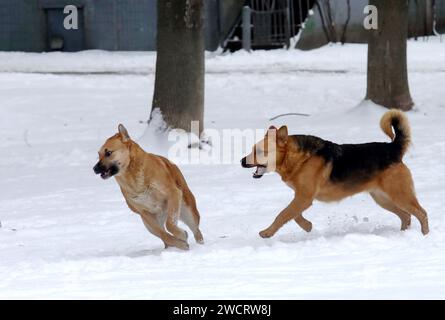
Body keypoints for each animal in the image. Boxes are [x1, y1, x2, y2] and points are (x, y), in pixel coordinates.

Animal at [241, 110, 428, 238]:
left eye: (259, 151)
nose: (242, 161)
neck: (299, 158)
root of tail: (393, 148)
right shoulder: (302, 198)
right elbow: (294, 216)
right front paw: (307, 226)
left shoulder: (303, 197)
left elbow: (282, 214)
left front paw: (267, 232)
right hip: (383, 199)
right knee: (406, 215)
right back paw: (403, 234)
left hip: (400, 195)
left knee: (421, 213)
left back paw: (425, 235)